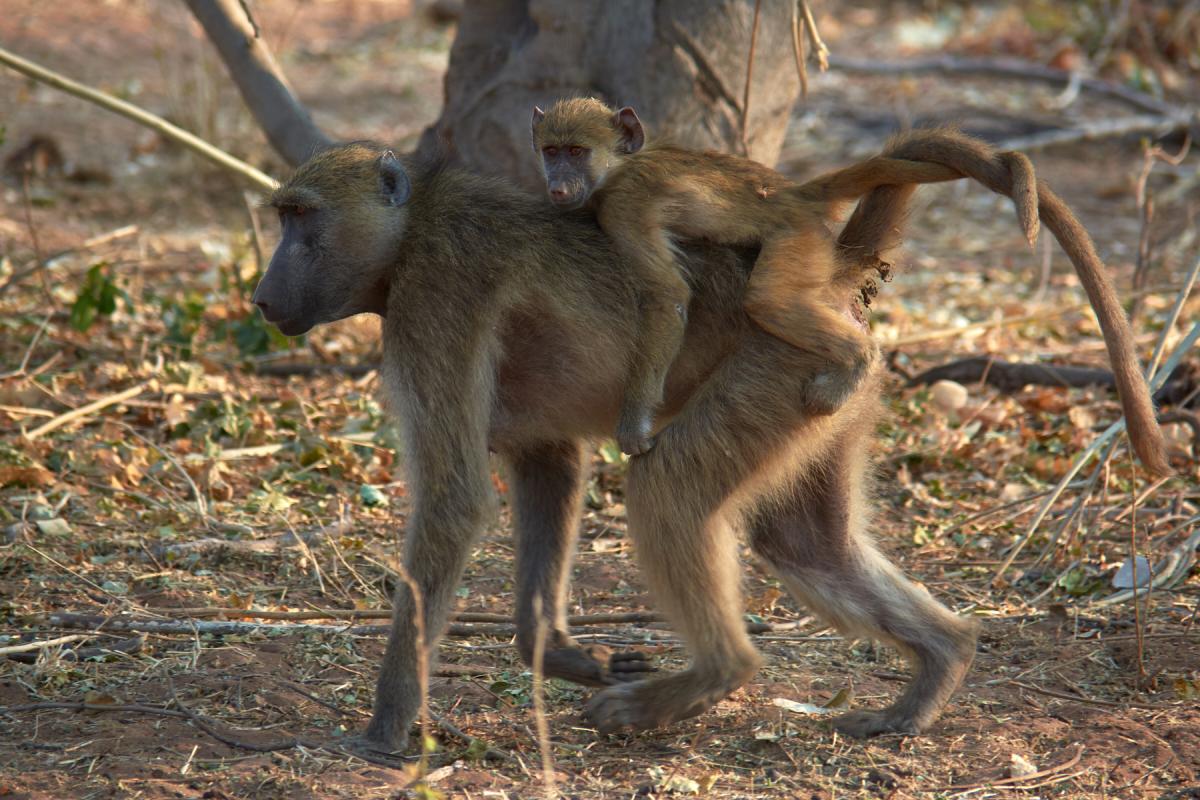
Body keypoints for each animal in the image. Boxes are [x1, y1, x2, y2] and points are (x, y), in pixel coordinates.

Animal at [251, 139, 1167, 753]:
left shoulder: (433, 303)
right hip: (814, 400)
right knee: (803, 540)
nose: (261, 297)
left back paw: (707, 680)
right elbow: (548, 464)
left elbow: (453, 497)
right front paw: (561, 654)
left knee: (668, 492)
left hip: (776, 364)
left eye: (301, 218)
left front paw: (384, 730)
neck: (411, 233)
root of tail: (831, 275)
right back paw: (933, 674)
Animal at [531, 99, 1169, 476]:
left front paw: (633, 428)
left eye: (576, 152)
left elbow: (666, 297)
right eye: (549, 151)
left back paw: (855, 362)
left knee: (767, 299)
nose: (558, 184)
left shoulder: (626, 206)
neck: (618, 169)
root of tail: (795, 195)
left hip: (797, 241)